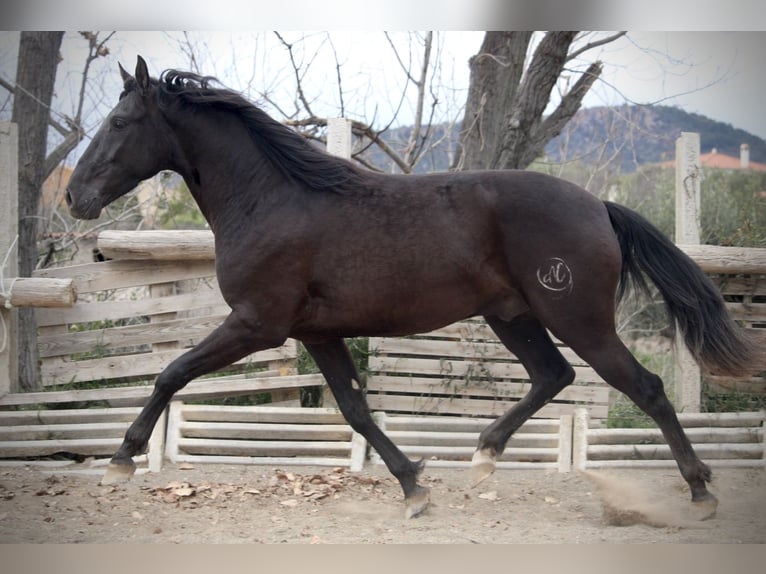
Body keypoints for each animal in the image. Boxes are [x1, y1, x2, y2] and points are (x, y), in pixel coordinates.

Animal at [64, 56, 756, 520]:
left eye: (120, 120)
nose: (74, 198)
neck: (272, 198)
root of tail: (599, 206)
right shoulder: (316, 333)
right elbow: (355, 410)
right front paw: (415, 486)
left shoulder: (257, 324)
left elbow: (170, 374)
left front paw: (119, 462)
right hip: (514, 316)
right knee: (552, 376)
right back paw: (483, 454)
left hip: (578, 319)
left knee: (646, 387)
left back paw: (700, 491)